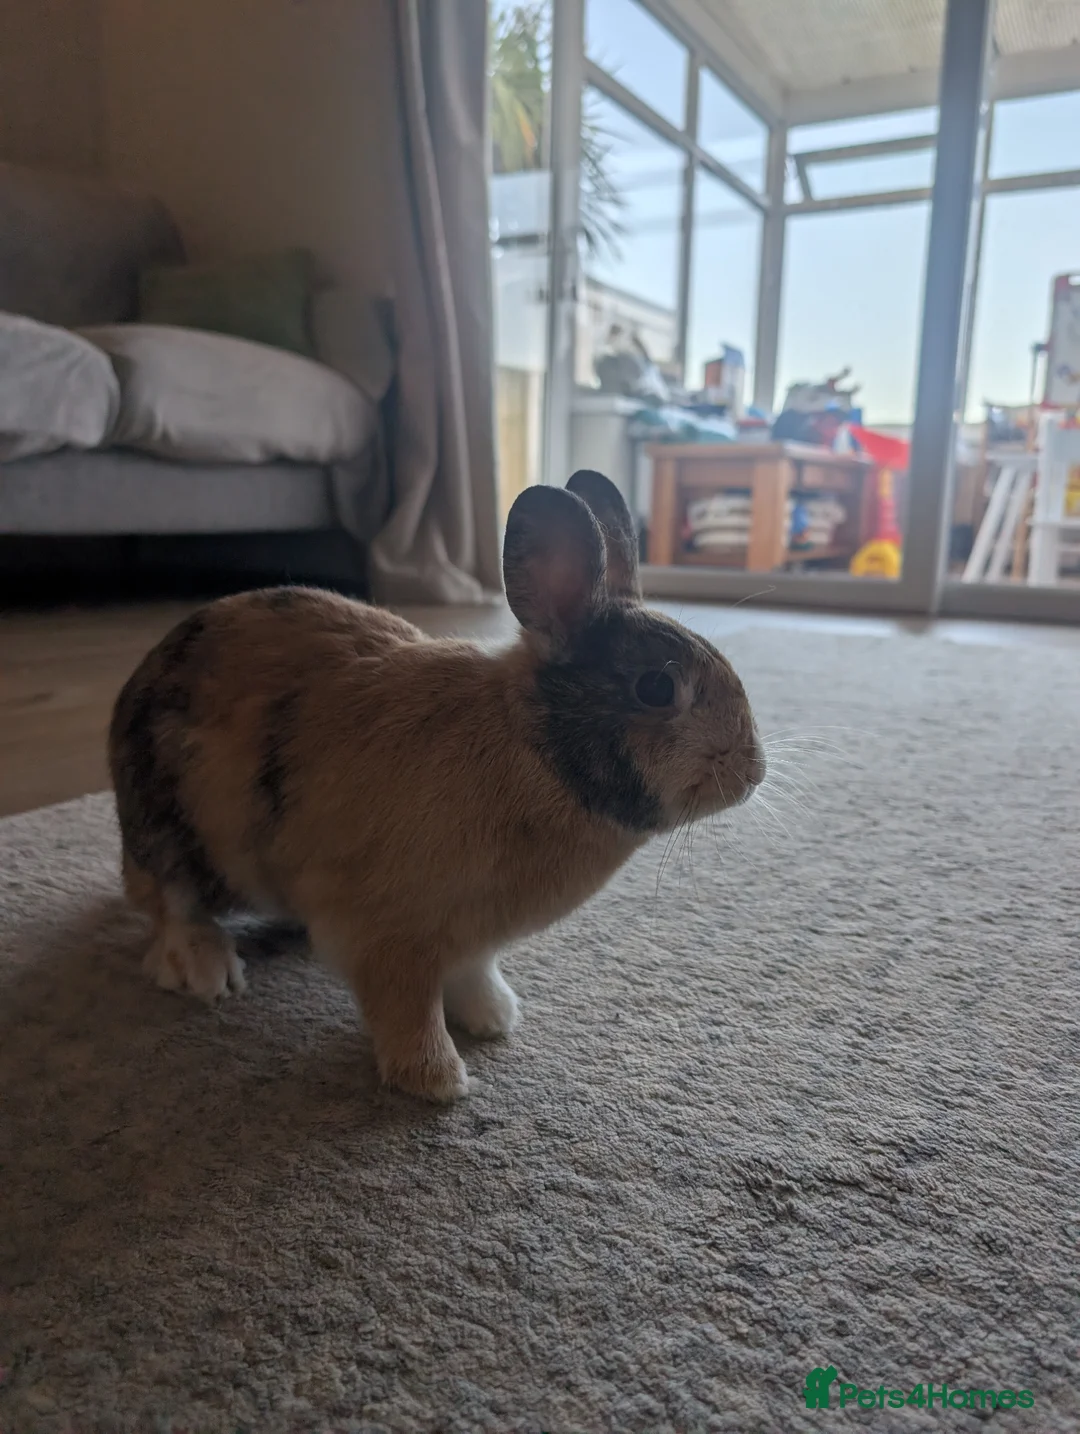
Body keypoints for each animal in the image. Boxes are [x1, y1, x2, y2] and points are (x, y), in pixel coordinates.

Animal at [109, 469, 764, 1101]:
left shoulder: (473, 938)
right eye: (656, 688)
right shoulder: (390, 935)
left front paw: (495, 1018)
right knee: (172, 904)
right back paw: (207, 972)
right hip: (173, 831)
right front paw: (436, 1082)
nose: (751, 773)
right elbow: (408, 1008)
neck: (535, 754)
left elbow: (472, 976)